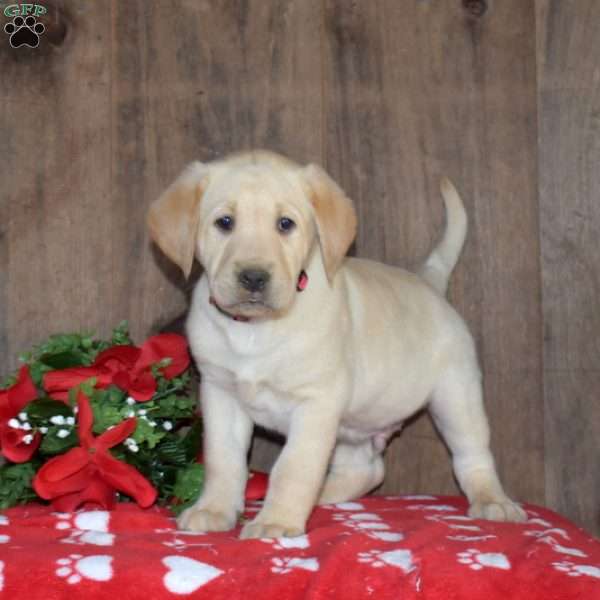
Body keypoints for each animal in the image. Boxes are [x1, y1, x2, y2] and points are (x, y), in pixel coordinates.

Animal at [149, 150, 524, 540]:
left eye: (285, 224)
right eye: (224, 222)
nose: (253, 277)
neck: (256, 330)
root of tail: (429, 283)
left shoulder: (317, 403)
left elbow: (293, 467)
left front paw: (276, 520)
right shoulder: (221, 393)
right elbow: (224, 460)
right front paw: (214, 509)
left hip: (456, 398)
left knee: (474, 456)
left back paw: (493, 501)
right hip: (354, 424)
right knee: (367, 469)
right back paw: (322, 494)